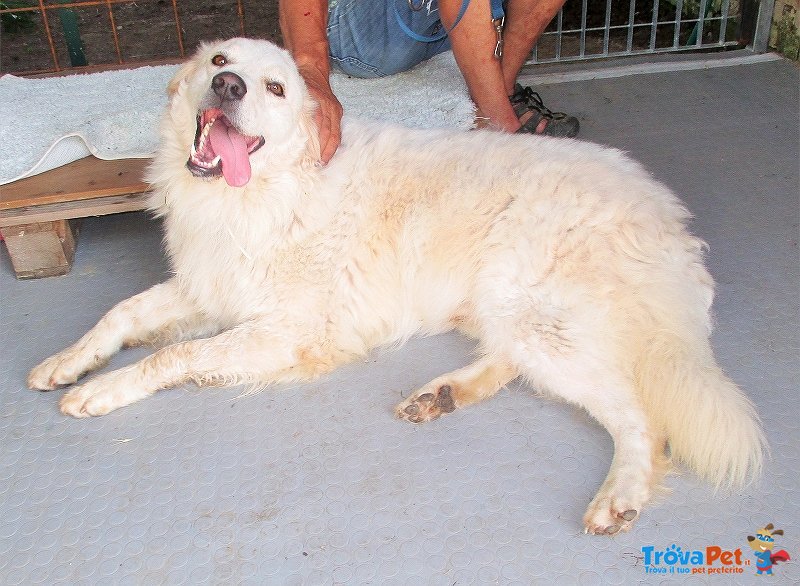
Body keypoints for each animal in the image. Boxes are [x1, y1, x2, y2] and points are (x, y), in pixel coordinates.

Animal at [29, 35, 768, 528]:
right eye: (220, 64)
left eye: (275, 90)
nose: (230, 88)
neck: (265, 193)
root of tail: (666, 216)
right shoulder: (210, 289)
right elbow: (122, 314)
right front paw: (68, 363)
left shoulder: (287, 331)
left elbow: (173, 355)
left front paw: (100, 391)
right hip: (511, 310)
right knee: (514, 364)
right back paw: (440, 395)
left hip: (536, 312)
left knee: (641, 418)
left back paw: (620, 495)